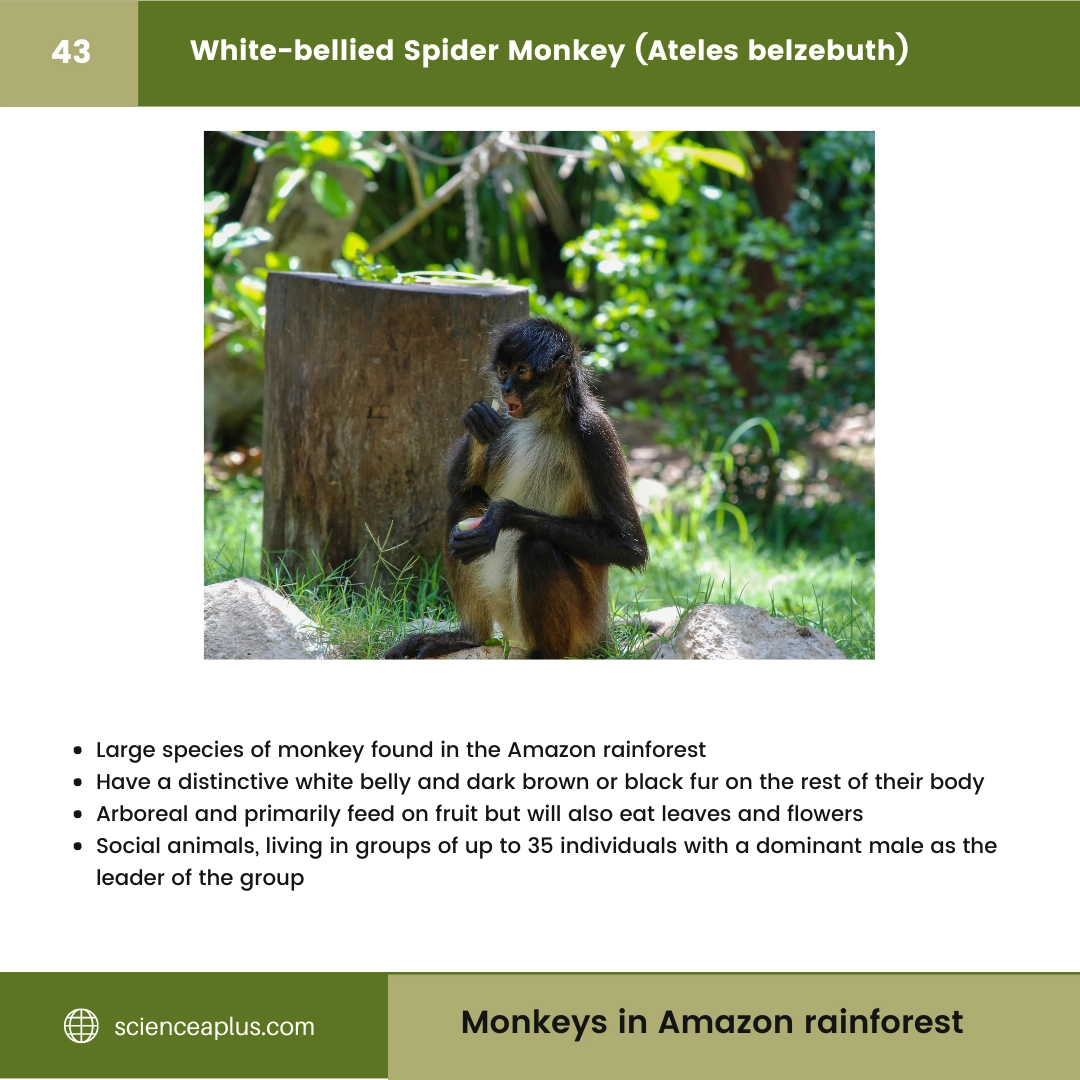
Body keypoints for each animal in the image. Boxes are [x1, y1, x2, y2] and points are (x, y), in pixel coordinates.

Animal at [384, 318, 647, 659]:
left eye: (522, 371)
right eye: (503, 371)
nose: (506, 388)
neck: (542, 421)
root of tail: (601, 636)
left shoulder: (592, 431)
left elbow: (630, 546)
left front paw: (502, 516)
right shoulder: (508, 420)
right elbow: (457, 487)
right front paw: (478, 421)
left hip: (582, 631)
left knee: (537, 549)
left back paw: (543, 654)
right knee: (462, 502)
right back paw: (468, 637)